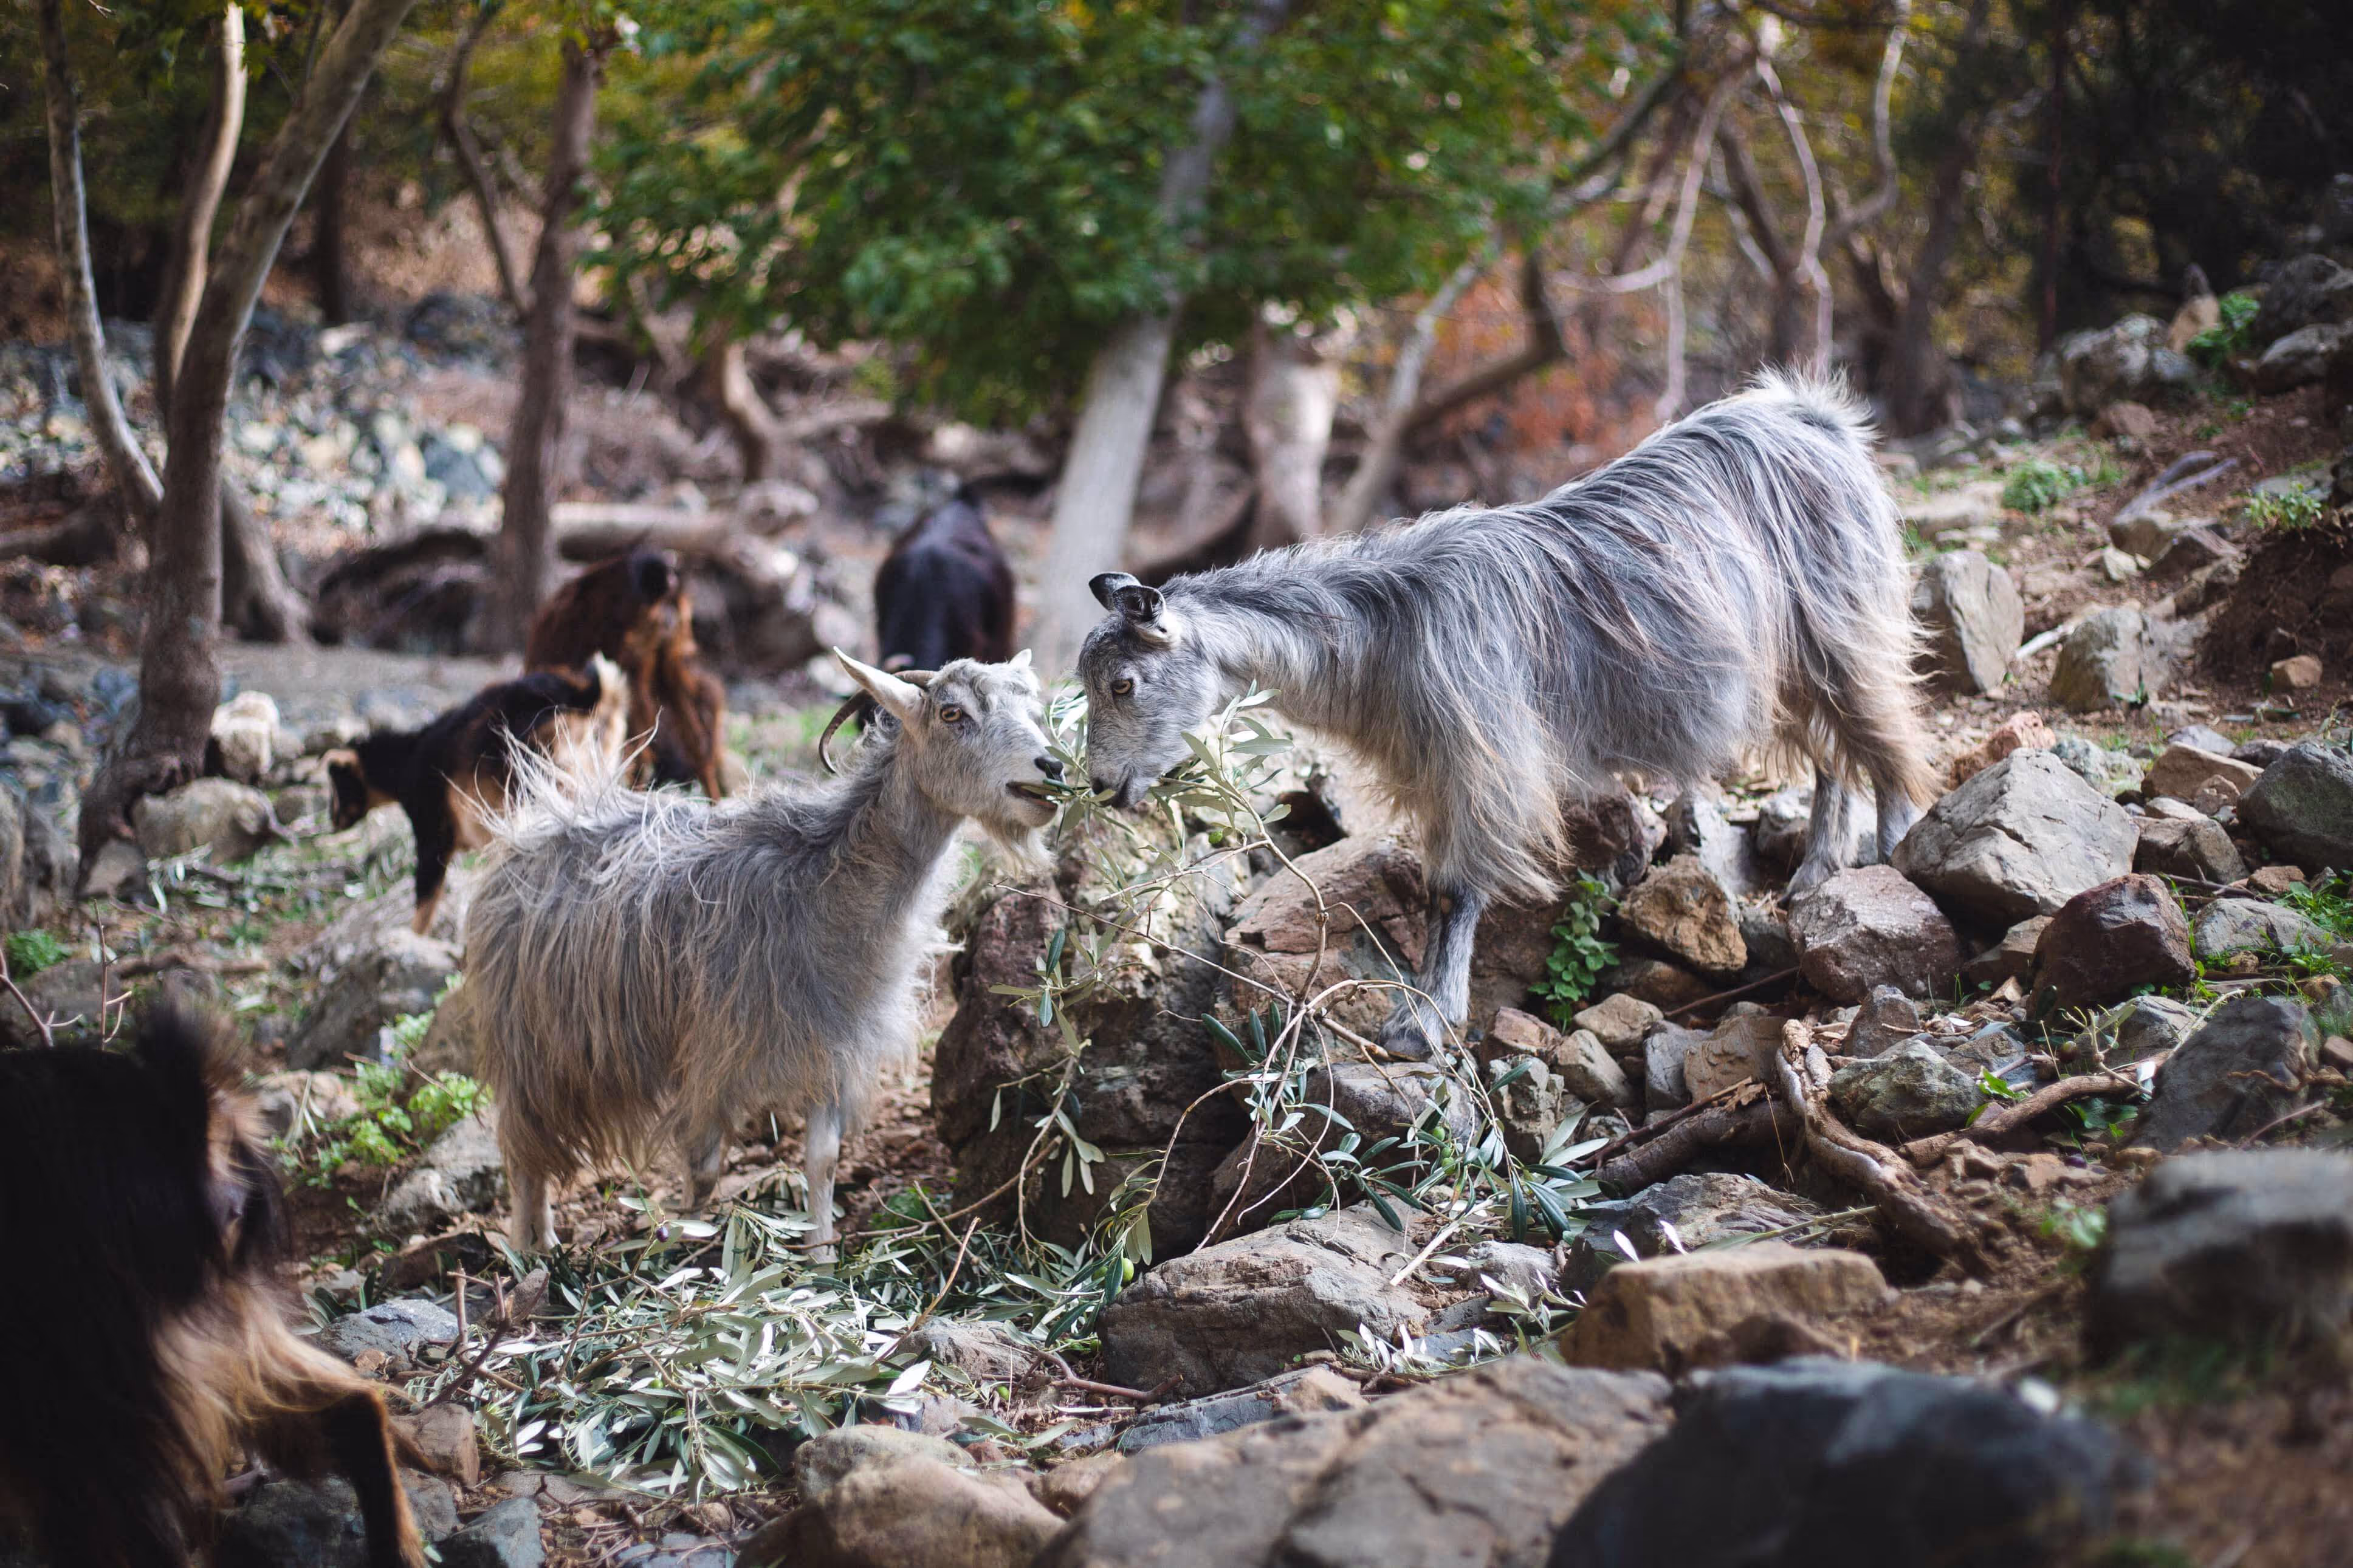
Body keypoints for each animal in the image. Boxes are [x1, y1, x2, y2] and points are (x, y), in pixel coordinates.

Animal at [325, 656, 627, 934]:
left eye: (337, 785)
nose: (332, 821)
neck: (407, 759)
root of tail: (586, 694)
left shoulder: (433, 831)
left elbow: (426, 895)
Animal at [463, 650, 1059, 1254]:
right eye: (951, 712)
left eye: (1030, 704)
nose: (1052, 767)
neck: (822, 883)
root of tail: (535, 826)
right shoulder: (712, 1052)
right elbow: (703, 1167)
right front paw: (686, 1251)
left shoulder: (832, 1044)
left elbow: (822, 1159)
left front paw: (822, 1255)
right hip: (534, 1043)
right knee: (523, 1148)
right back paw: (530, 1250)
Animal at [1077, 371, 1934, 1060]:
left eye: (1121, 683)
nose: (1098, 785)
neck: (1384, 627)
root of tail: (1816, 419)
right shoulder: (1431, 769)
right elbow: (1436, 889)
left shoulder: (1481, 757)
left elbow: (1455, 891)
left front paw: (1419, 1025)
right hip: (1785, 663)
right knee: (1832, 752)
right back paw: (1814, 874)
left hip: (1842, 622)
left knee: (1885, 735)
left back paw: (1892, 855)